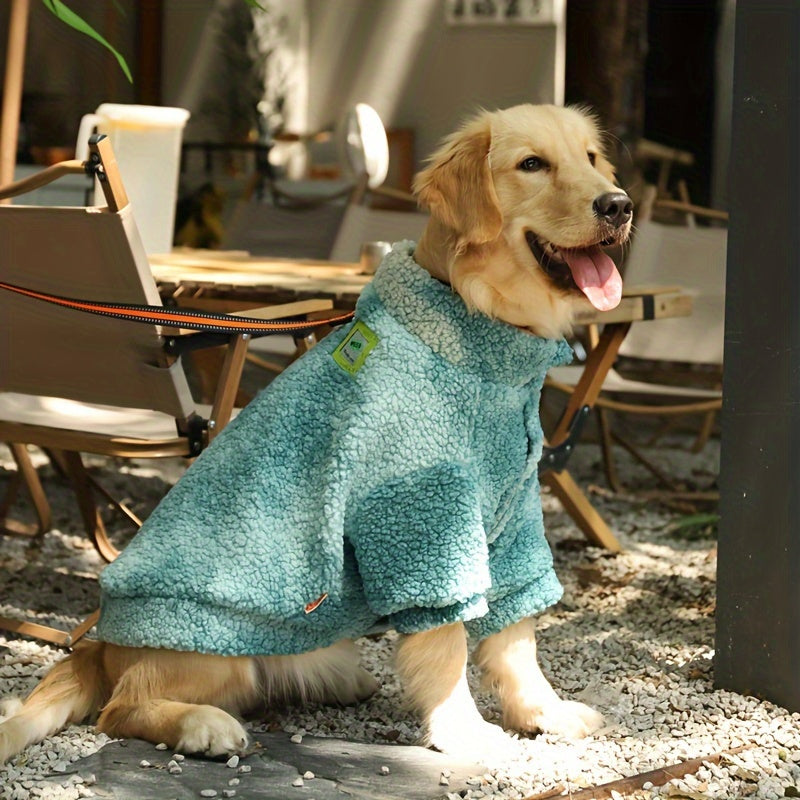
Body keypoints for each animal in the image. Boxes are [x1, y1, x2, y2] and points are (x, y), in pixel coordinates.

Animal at [0, 103, 632, 764]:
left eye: (591, 158)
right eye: (532, 164)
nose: (618, 205)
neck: (480, 344)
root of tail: (100, 641)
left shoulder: (512, 519)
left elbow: (515, 636)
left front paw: (545, 711)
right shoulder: (420, 512)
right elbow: (447, 639)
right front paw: (465, 732)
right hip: (212, 642)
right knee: (123, 706)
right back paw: (202, 725)